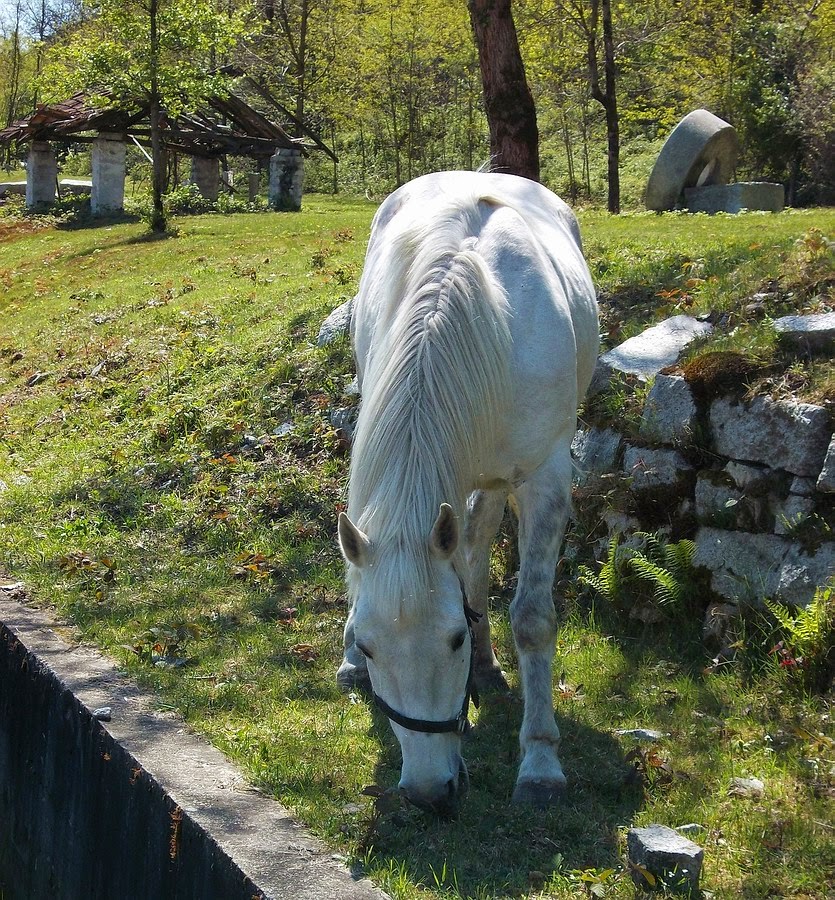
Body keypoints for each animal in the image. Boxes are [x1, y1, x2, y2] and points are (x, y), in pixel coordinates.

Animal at [337, 171, 599, 816]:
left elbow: (531, 618)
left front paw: (540, 762)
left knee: (476, 547)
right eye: (371, 646)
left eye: (452, 639)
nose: (429, 791)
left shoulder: (546, 478)